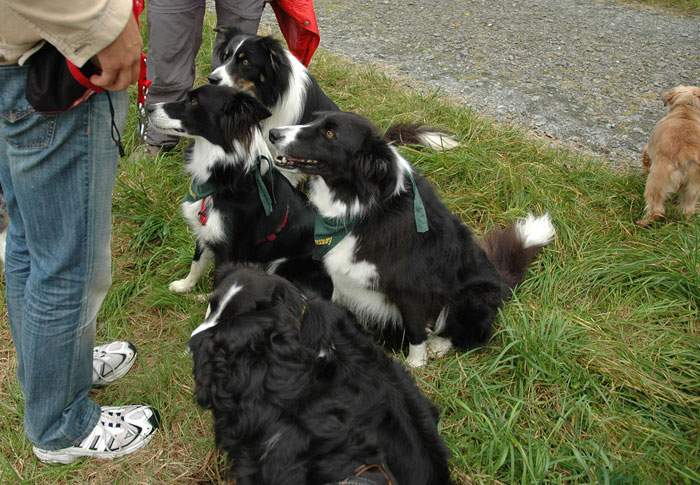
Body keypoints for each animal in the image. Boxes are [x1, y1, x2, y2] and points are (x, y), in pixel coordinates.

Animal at [146, 86, 330, 296]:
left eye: (194, 101)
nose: (148, 108)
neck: (227, 179)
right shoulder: (207, 231)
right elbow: (197, 262)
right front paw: (185, 285)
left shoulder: (229, 249)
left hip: (284, 263)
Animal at [270, 110, 556, 366]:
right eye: (313, 120)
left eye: (330, 133)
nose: (273, 133)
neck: (364, 209)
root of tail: (501, 281)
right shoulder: (341, 279)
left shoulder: (413, 291)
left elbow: (416, 333)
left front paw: (416, 365)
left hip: (472, 297)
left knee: (470, 335)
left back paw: (440, 345)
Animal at [636, 84, 700, 225]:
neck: (686, 111)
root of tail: (685, 158)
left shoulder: (648, 150)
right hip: (693, 187)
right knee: (687, 208)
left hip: (657, 181)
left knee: (656, 208)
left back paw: (645, 222)